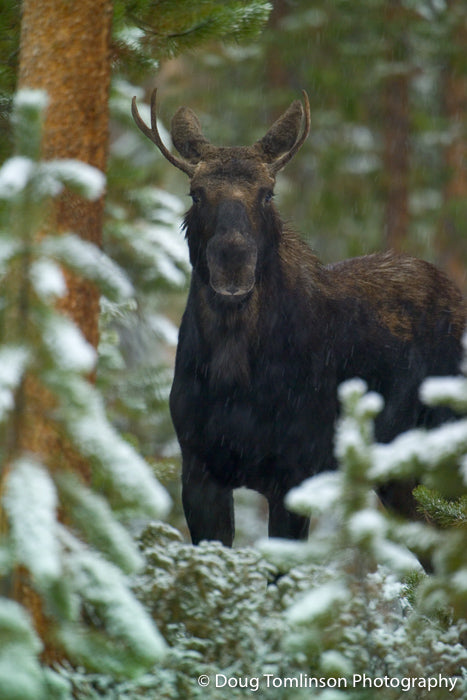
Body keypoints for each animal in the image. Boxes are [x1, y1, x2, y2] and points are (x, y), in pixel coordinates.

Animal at [132, 90, 466, 546]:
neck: (234, 378)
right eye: (196, 193)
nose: (233, 261)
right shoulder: (199, 470)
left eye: (268, 193)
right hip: (397, 478)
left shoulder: (295, 473)